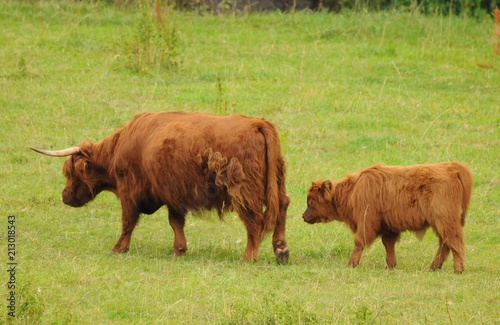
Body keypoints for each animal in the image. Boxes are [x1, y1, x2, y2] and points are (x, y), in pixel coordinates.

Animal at [30, 111, 290, 264]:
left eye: (70, 172)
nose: (64, 196)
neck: (121, 147)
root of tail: (257, 123)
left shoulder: (130, 192)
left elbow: (128, 221)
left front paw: (118, 248)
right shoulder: (173, 194)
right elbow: (175, 222)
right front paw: (179, 249)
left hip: (243, 190)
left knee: (254, 219)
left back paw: (249, 257)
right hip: (276, 184)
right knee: (282, 208)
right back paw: (281, 250)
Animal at [300, 161, 472, 270]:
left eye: (312, 201)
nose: (303, 216)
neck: (352, 191)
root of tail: (452, 167)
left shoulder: (366, 221)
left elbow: (359, 242)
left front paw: (351, 264)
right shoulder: (388, 226)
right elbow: (388, 244)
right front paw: (391, 264)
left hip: (445, 220)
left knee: (454, 241)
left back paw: (458, 268)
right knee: (445, 243)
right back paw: (434, 266)